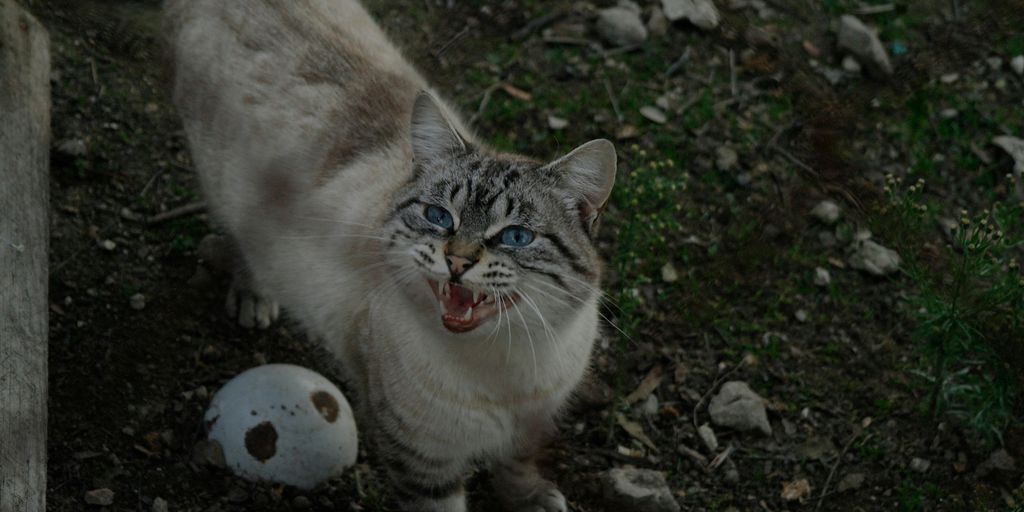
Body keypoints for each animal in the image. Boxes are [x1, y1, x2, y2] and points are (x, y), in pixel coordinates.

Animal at [161, 2, 614, 509]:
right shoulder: (422, 460)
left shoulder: (530, 426)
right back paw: (254, 297)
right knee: (241, 241)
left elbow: (516, 466)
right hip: (226, 193)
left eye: (515, 236)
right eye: (439, 216)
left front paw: (531, 499)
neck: (506, 369)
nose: (457, 261)